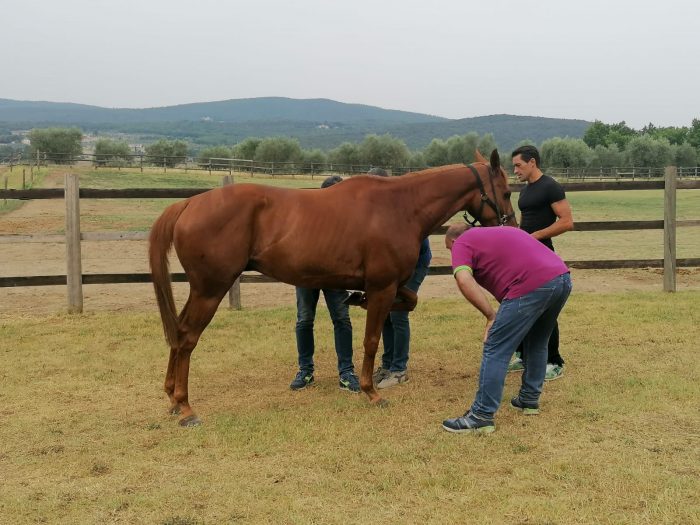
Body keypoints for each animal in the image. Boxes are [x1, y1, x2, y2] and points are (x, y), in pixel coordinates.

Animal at [149, 148, 516, 426]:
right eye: (506, 191)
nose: (511, 226)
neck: (399, 206)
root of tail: (189, 204)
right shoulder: (383, 286)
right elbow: (371, 341)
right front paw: (371, 392)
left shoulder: (389, 287)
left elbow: (408, 301)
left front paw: (357, 302)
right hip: (210, 290)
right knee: (187, 338)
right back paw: (185, 406)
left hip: (200, 290)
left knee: (178, 331)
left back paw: (172, 397)